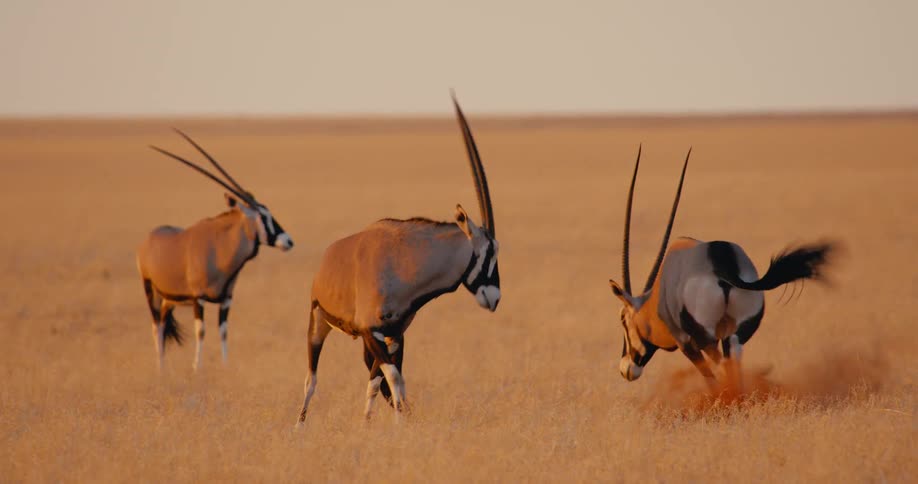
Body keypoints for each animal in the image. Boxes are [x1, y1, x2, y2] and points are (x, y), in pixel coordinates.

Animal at [136, 130, 294, 371]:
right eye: (263, 216)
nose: (288, 241)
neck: (221, 248)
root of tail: (148, 239)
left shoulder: (226, 298)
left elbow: (223, 332)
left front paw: (225, 367)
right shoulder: (198, 298)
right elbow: (201, 331)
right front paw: (197, 369)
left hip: (168, 300)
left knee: (162, 325)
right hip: (151, 291)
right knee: (157, 328)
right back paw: (160, 370)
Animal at [296, 95, 500, 424]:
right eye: (489, 252)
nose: (494, 298)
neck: (405, 263)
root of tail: (327, 257)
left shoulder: (395, 334)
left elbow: (385, 381)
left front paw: (382, 424)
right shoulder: (372, 331)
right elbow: (393, 379)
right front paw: (401, 424)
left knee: (371, 379)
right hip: (318, 323)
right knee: (311, 378)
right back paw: (299, 426)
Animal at [609, 146, 834, 389]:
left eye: (623, 319)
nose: (626, 369)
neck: (657, 295)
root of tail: (722, 266)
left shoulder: (686, 342)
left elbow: (708, 375)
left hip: (706, 338)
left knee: (720, 366)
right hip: (738, 330)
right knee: (732, 357)